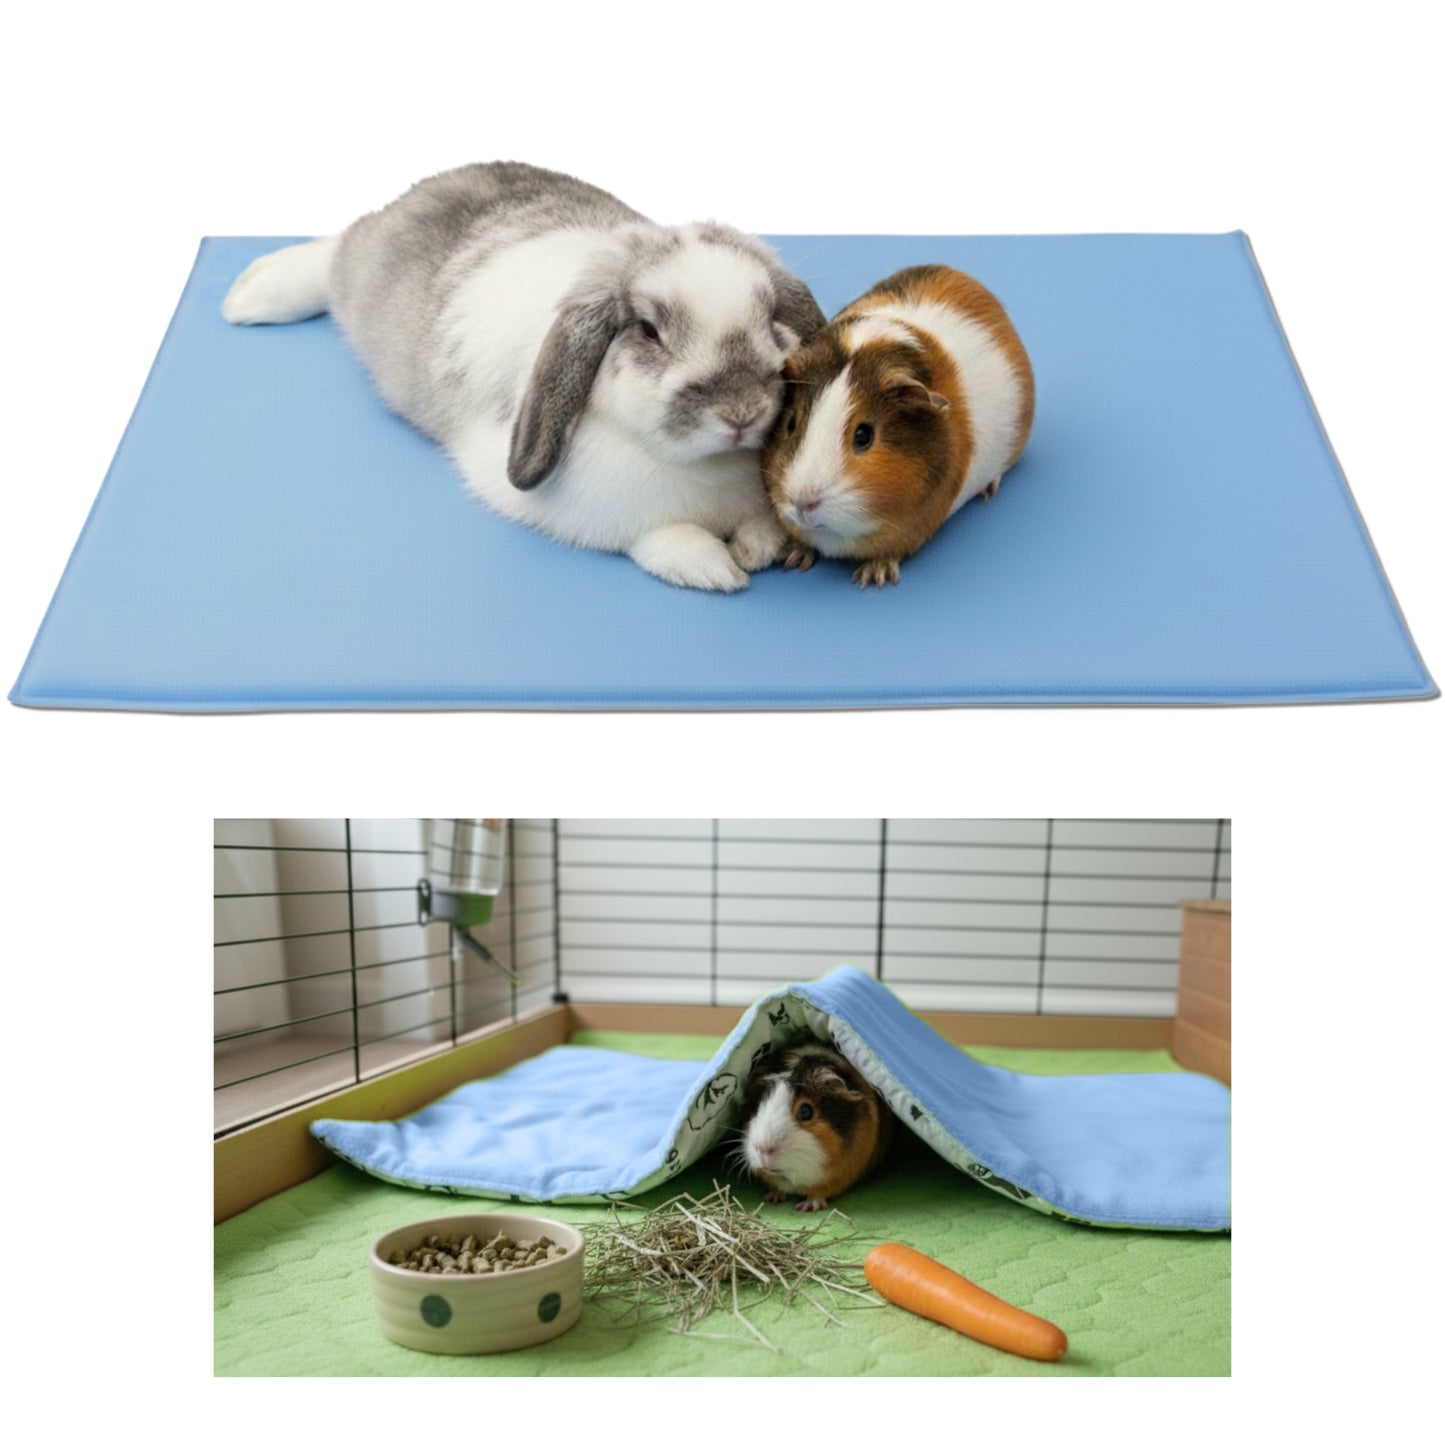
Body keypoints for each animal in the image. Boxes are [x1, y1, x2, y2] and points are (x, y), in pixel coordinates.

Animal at [222, 161, 826, 592]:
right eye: (648, 331)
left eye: (772, 320)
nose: (742, 412)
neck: (705, 468)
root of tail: (432, 183)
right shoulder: (608, 516)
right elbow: (659, 537)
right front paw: (712, 567)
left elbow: (760, 527)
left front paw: (759, 546)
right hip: (357, 267)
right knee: (336, 248)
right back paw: (251, 295)